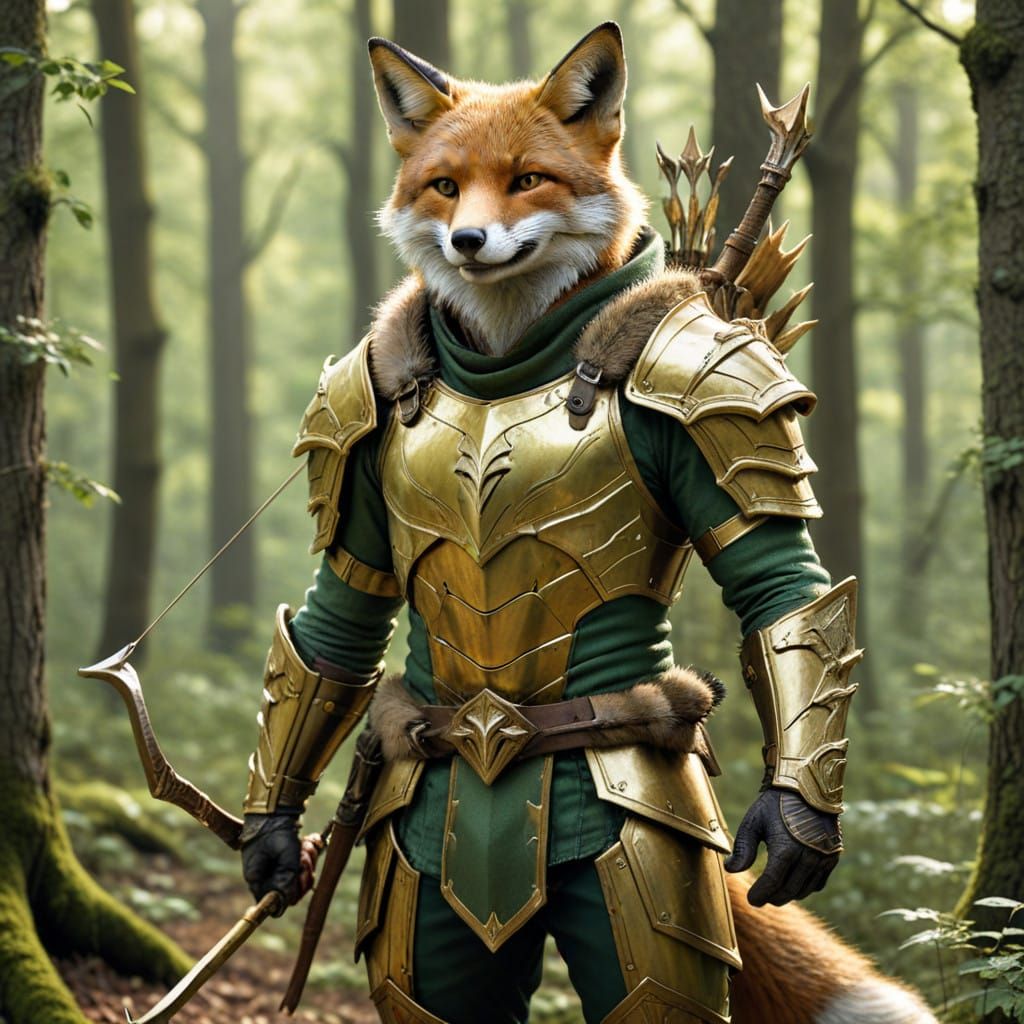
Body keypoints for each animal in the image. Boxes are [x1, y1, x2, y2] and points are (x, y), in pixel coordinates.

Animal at [352, 20, 940, 1024]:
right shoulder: (352, 400)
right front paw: (272, 844)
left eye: (528, 178)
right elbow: (340, 608)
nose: (468, 239)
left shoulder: (715, 385)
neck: (509, 354)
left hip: (647, 880)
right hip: (417, 899)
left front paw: (796, 827)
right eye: (443, 184)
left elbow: (782, 589)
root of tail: (490, 730)